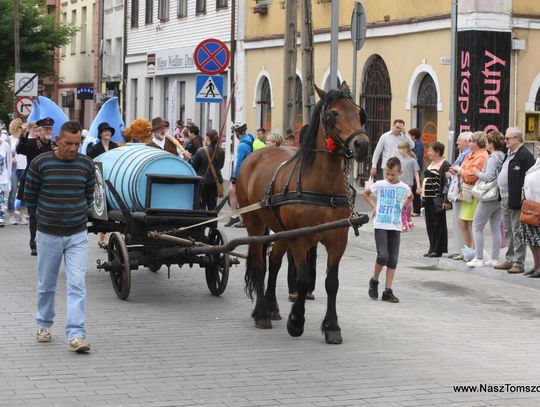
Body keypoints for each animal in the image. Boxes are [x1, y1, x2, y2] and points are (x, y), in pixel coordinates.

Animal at [236, 83, 372, 344]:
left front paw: (332, 327)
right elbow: (302, 280)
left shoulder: (338, 238)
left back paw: (272, 307)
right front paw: (296, 321)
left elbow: (331, 282)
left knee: (274, 263)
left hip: (281, 232)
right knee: (259, 265)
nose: (363, 145)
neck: (323, 185)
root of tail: (254, 157)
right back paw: (262, 314)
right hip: (255, 223)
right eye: (333, 114)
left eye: (360, 114)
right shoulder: (300, 238)